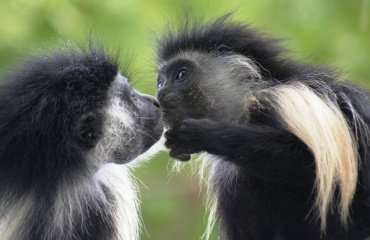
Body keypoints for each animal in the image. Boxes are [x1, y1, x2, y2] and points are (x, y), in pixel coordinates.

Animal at [155, 15, 370, 240]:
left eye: (181, 74)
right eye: (160, 82)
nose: (160, 92)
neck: (252, 103)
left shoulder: (289, 101)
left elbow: (310, 164)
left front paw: (199, 134)